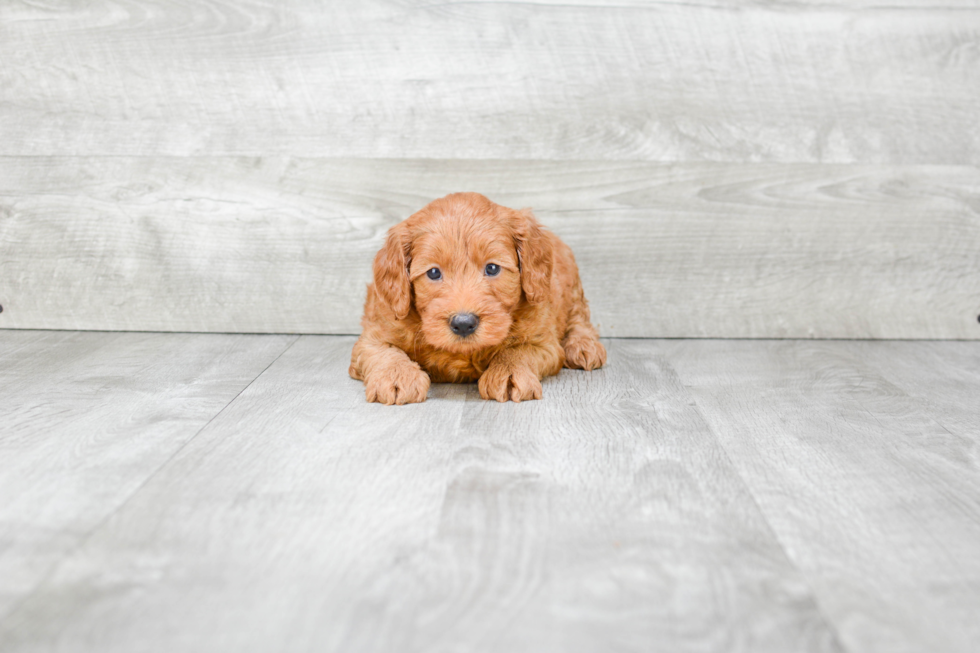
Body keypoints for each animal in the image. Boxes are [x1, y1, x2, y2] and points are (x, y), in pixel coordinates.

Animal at [348, 191, 600, 402]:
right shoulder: (375, 332)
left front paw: (509, 372)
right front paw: (396, 376)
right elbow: (383, 351)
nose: (463, 323)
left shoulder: (544, 340)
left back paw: (583, 346)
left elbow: (519, 350)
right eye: (433, 273)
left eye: (492, 268)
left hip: (572, 285)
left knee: (579, 317)